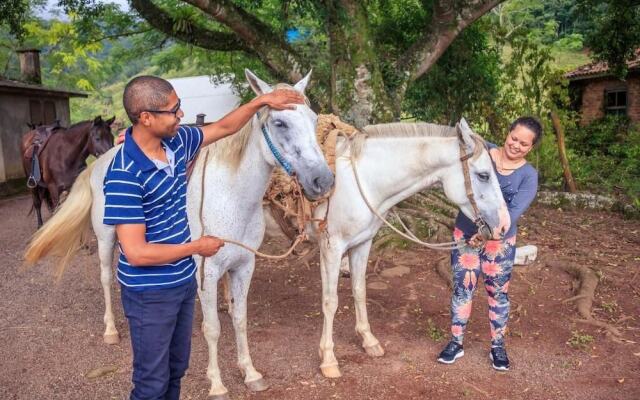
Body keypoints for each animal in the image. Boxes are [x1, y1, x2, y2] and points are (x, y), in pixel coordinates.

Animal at [23, 70, 336, 398]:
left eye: (314, 119)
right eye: (280, 123)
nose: (323, 180)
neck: (232, 195)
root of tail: (103, 160)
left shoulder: (244, 265)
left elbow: (240, 320)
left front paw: (250, 372)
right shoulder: (207, 269)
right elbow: (213, 329)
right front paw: (217, 383)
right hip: (106, 239)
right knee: (107, 278)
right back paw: (111, 329)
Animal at [264, 119, 510, 378]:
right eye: (483, 175)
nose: (505, 224)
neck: (361, 180)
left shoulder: (362, 244)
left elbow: (359, 290)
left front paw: (368, 340)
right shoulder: (331, 248)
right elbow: (330, 302)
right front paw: (328, 359)